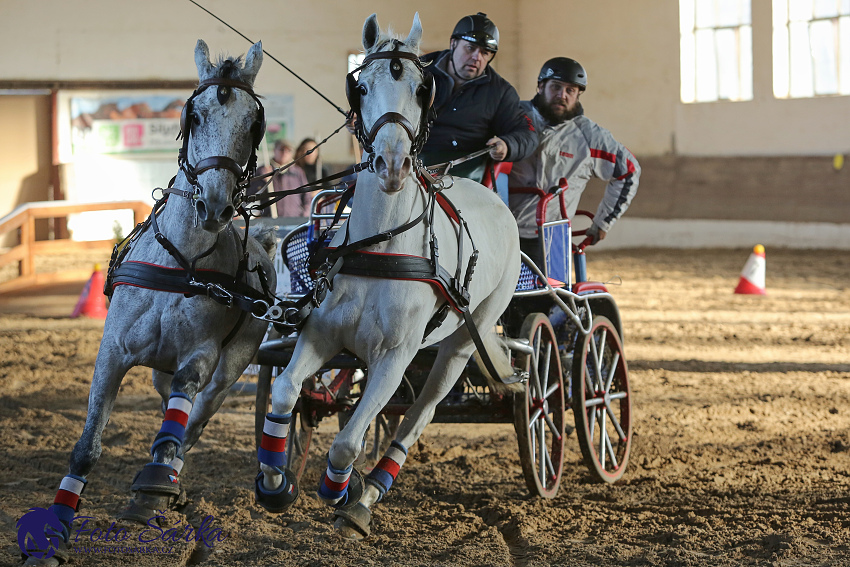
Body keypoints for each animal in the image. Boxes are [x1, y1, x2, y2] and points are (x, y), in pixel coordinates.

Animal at [26, 38, 274, 564]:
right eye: (194, 115)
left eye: (253, 124)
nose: (215, 205)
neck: (182, 259)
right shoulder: (113, 352)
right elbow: (87, 446)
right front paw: (54, 534)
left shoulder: (200, 356)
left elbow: (178, 420)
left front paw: (154, 488)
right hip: (157, 369)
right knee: (167, 408)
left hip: (230, 370)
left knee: (192, 423)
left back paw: (164, 486)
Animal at [252, 12, 520, 536]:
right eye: (361, 86)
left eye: (421, 88)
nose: (392, 163)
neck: (380, 247)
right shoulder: (321, 336)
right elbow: (284, 392)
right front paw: (275, 484)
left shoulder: (394, 359)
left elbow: (348, 442)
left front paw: (340, 490)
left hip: (463, 341)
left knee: (419, 413)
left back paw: (367, 494)